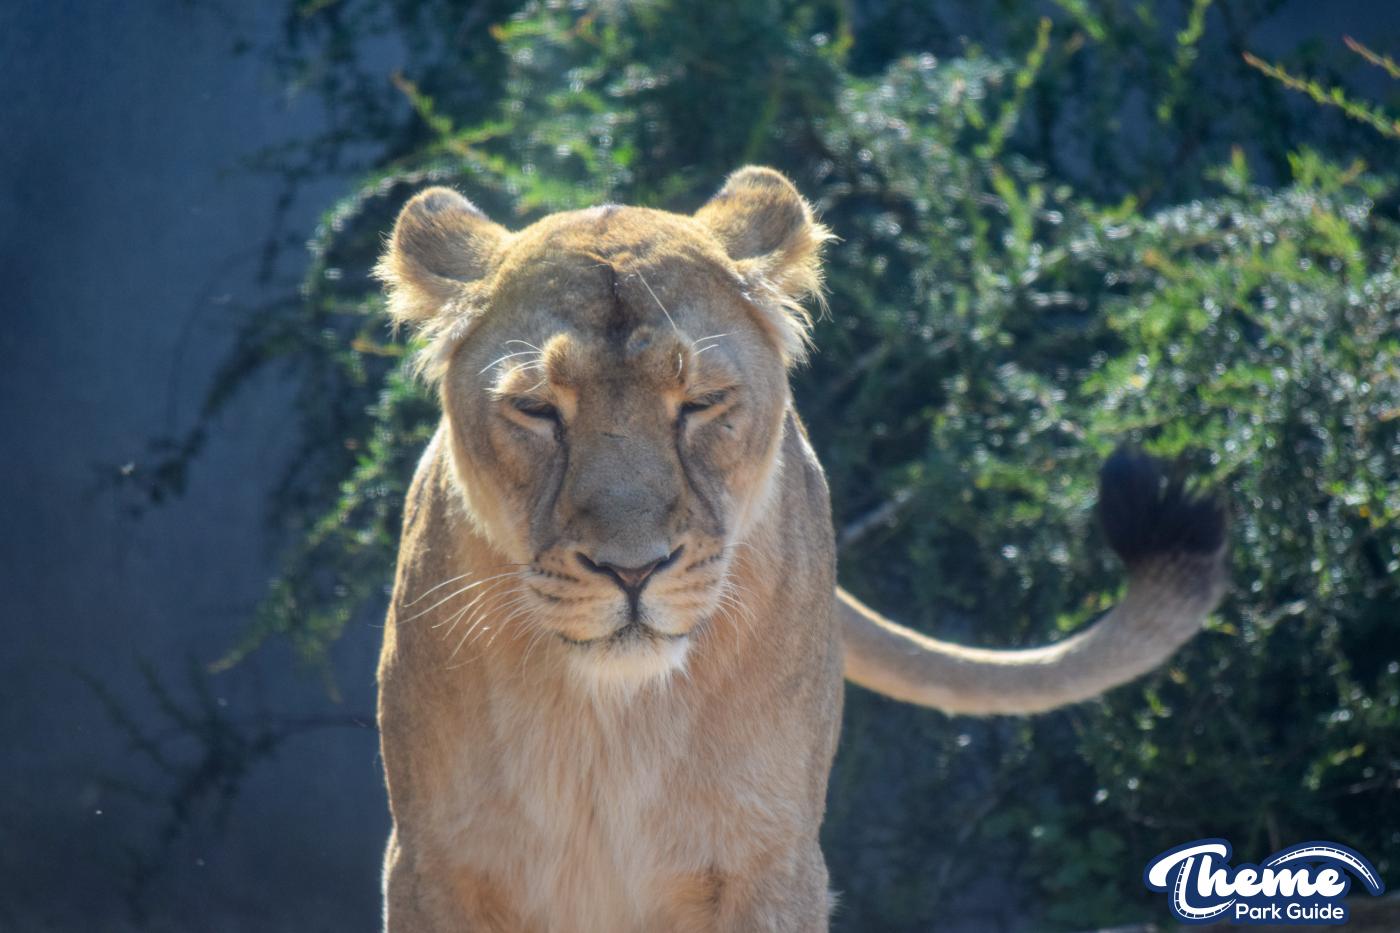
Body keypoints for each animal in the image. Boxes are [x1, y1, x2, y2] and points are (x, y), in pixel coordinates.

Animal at [373, 166, 1228, 932]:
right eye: (535, 409)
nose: (632, 568)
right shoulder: (430, 863)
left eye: (702, 402)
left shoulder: (769, 861)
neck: (613, 717)